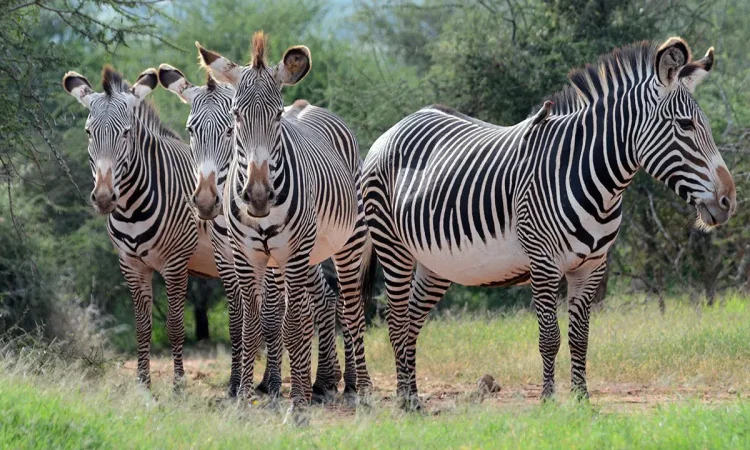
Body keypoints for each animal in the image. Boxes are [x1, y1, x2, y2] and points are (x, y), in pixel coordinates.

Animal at [156, 64, 357, 400]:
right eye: (191, 130)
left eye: (229, 130)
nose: (206, 201)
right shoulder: (227, 257)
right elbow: (239, 319)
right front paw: (237, 383)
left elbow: (272, 315)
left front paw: (272, 383)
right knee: (324, 299)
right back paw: (323, 380)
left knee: (340, 300)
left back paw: (347, 381)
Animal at [362, 37, 736, 409]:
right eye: (685, 125)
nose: (728, 202)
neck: (592, 179)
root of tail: (399, 125)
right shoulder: (543, 263)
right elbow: (550, 336)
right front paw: (547, 401)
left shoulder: (592, 267)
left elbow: (580, 336)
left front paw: (582, 398)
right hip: (393, 248)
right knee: (396, 322)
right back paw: (406, 403)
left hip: (435, 263)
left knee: (411, 321)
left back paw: (411, 396)